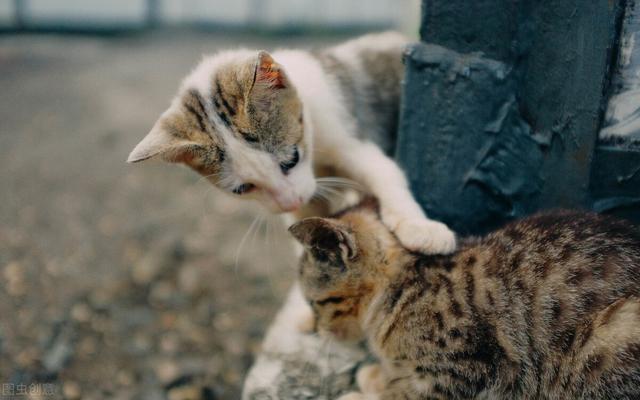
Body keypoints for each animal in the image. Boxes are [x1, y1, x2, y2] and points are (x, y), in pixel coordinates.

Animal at [126, 33, 456, 253]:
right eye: (242, 189)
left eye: (291, 160)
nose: (290, 202)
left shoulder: (348, 130)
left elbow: (385, 173)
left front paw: (419, 227)